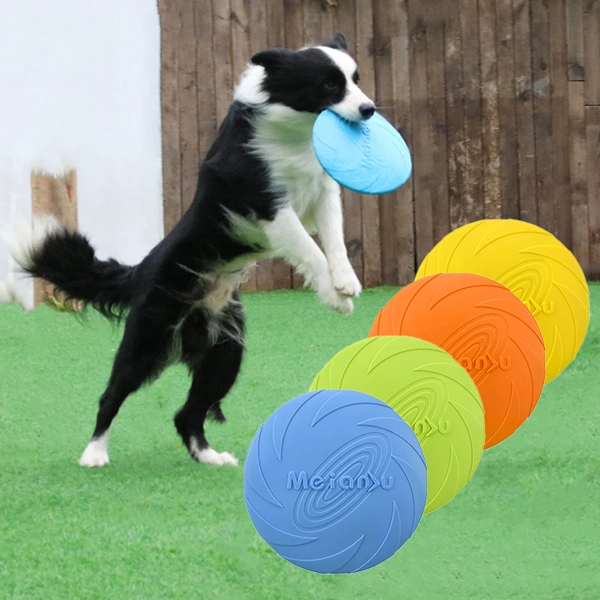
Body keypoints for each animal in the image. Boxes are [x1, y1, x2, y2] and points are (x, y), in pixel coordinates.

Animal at [3, 32, 376, 468]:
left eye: (355, 79)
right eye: (330, 85)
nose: (369, 110)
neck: (295, 131)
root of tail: (140, 270)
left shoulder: (322, 192)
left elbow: (334, 241)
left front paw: (345, 284)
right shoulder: (267, 206)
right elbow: (310, 250)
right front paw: (335, 296)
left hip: (226, 350)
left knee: (187, 413)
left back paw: (210, 457)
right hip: (146, 341)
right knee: (111, 396)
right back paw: (94, 453)